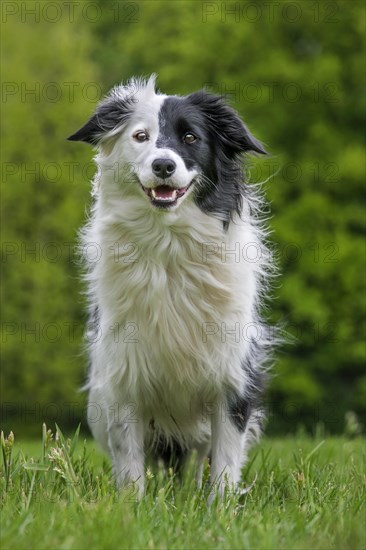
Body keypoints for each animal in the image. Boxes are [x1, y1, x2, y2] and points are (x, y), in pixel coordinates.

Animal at [68, 74, 274, 500]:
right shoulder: (123, 374)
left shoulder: (232, 373)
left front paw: (219, 507)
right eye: (141, 136)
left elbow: (225, 459)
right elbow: (130, 462)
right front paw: (132, 507)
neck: (169, 242)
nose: (163, 164)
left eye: (191, 137)